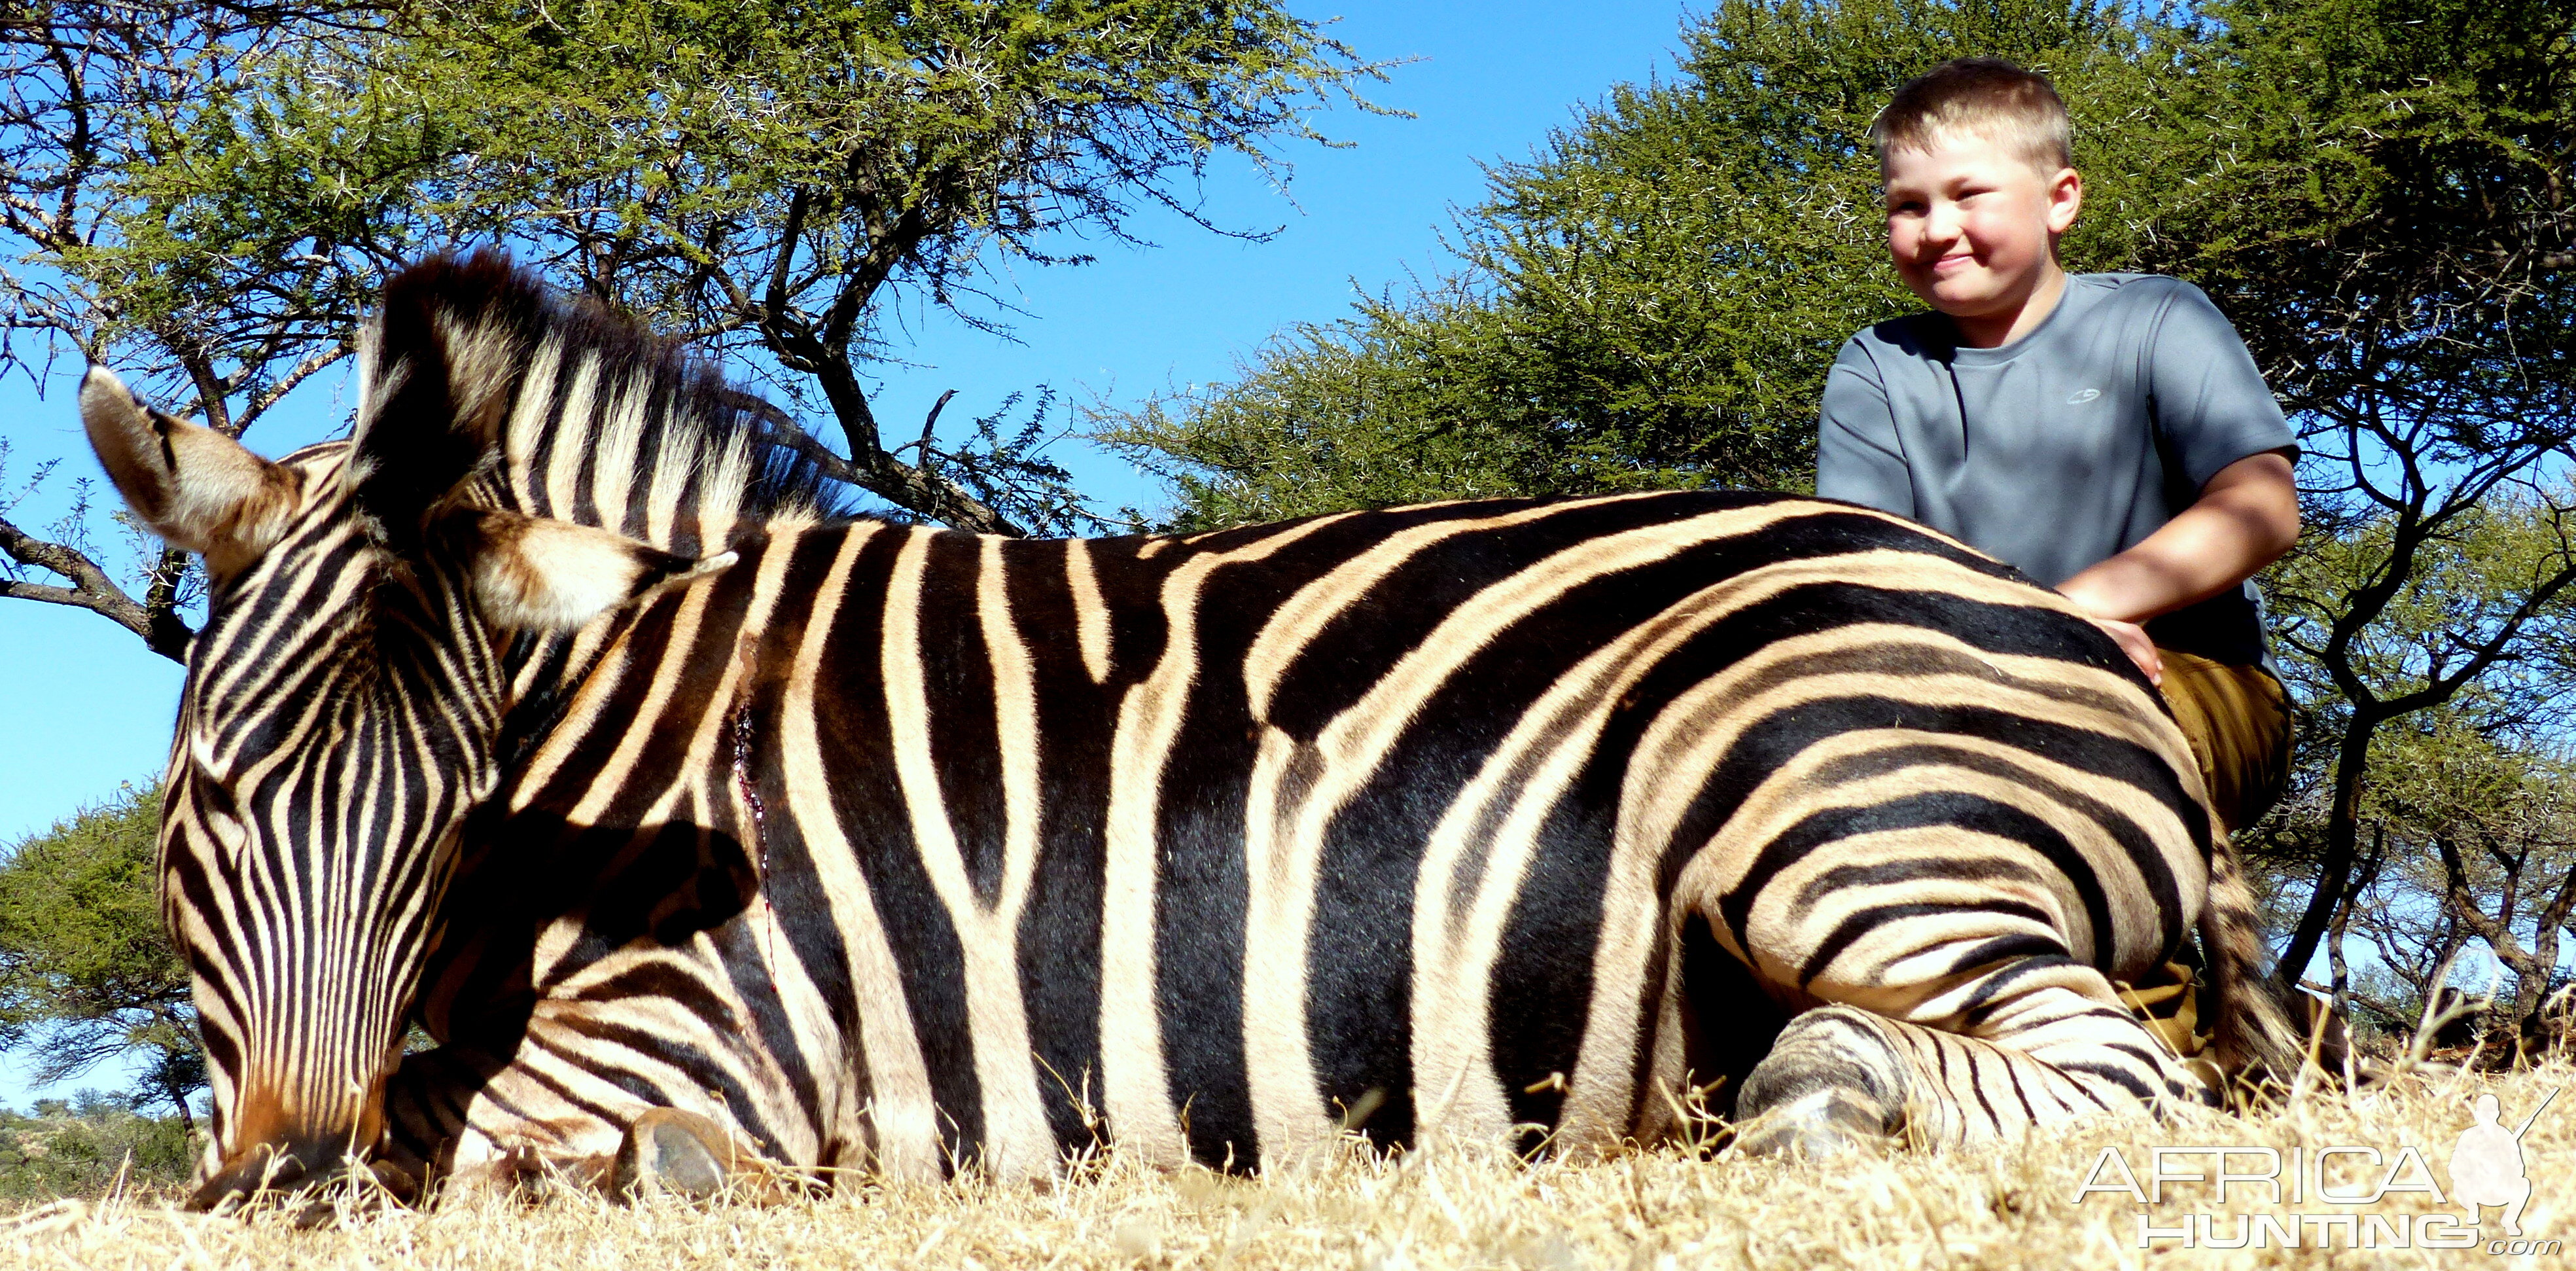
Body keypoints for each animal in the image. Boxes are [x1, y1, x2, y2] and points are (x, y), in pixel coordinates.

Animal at [75, 250, 2297, 1206]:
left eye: (456, 816)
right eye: (208, 798)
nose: (281, 1183)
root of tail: (2076, 633)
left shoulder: (707, 1031)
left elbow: (489, 1147)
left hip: (1826, 800)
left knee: (2092, 1070)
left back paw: (1828, 1087)